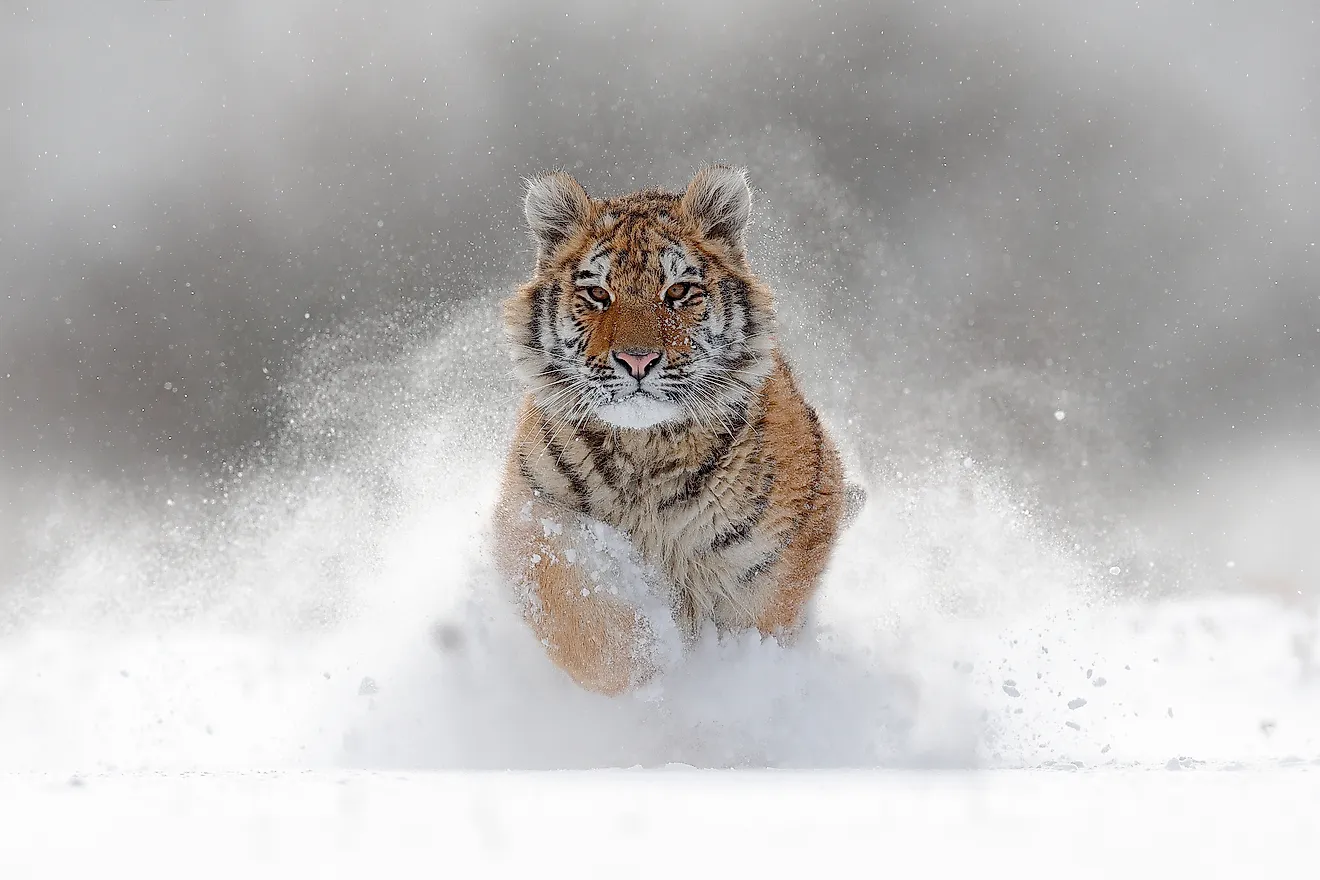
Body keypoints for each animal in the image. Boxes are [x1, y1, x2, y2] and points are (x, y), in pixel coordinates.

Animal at [491, 164, 860, 696]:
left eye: (678, 292)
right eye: (598, 294)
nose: (636, 359)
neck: (646, 449)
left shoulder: (776, 557)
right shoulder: (530, 511)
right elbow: (577, 609)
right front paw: (644, 665)